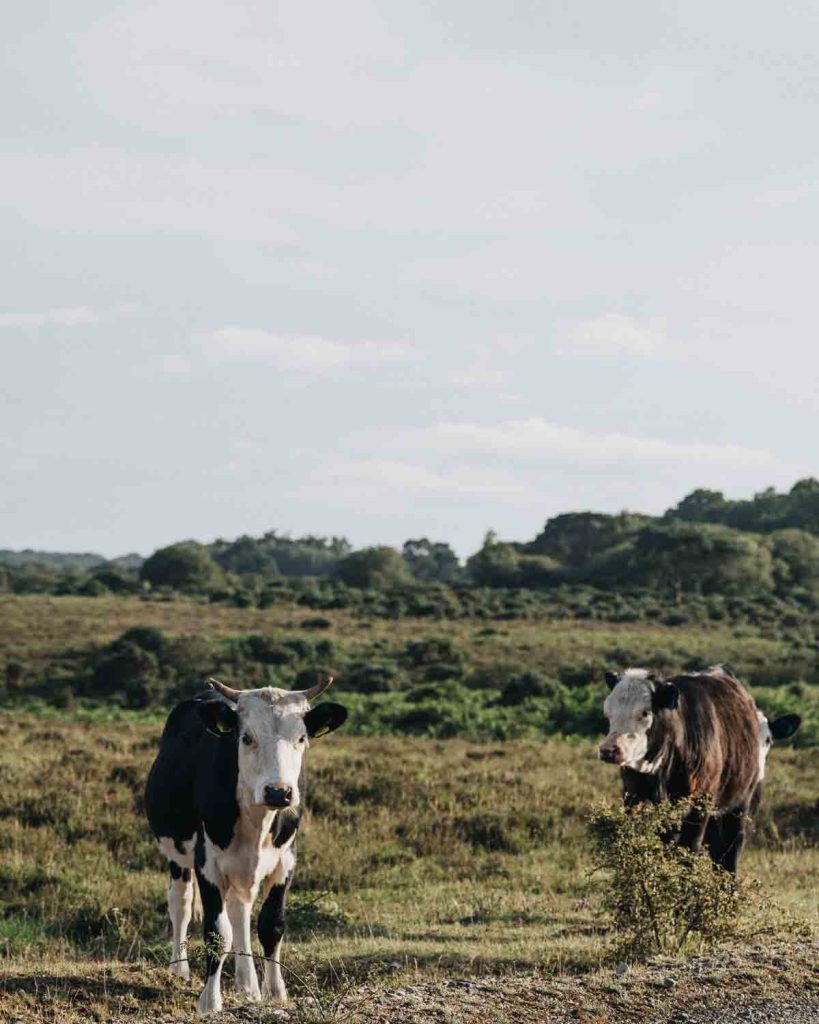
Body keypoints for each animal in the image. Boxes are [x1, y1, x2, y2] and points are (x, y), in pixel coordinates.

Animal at [145, 671, 348, 1015]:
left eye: (301, 738)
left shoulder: (286, 860)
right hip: (177, 856)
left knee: (239, 910)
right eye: (246, 738)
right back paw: (179, 969)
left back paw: (247, 984)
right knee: (180, 903)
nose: (279, 792)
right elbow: (217, 933)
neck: (257, 818)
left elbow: (270, 925)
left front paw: (274, 991)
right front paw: (210, 1000)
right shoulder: (207, 863)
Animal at [597, 667, 765, 876]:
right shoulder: (634, 798)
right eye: (608, 712)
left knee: (730, 853)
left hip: (739, 805)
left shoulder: (699, 804)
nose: (608, 750)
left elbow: (689, 850)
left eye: (645, 713)